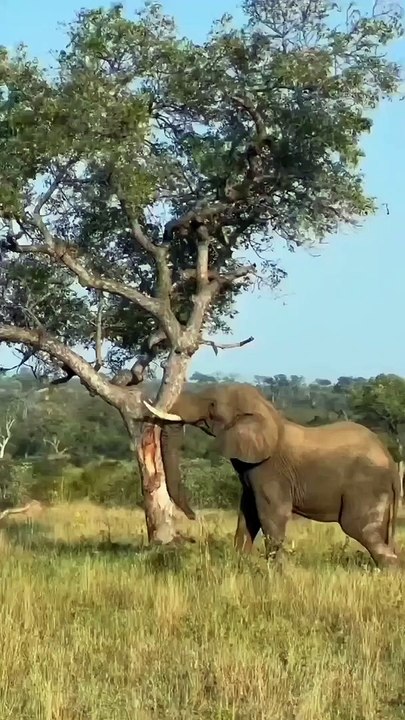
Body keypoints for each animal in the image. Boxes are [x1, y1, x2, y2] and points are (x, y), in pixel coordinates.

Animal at [144, 383, 400, 569]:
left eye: (212, 405)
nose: (193, 516)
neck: (264, 410)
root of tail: (391, 463)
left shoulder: (270, 470)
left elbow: (271, 514)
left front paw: (275, 572)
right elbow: (247, 514)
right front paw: (240, 564)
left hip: (366, 485)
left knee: (360, 528)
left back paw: (391, 571)